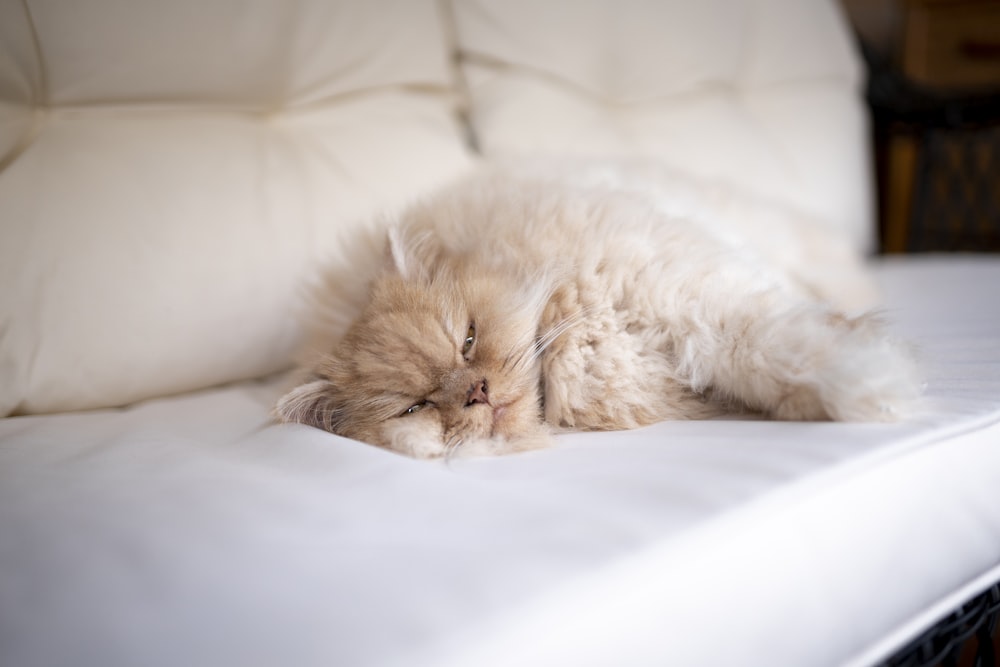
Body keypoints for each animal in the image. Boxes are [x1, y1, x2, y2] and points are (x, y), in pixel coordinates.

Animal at [274, 160, 920, 460]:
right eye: (417, 406)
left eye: (468, 338)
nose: (478, 391)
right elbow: (774, 365)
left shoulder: (694, 299)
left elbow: (776, 347)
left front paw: (875, 386)